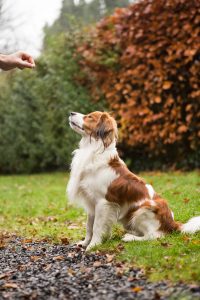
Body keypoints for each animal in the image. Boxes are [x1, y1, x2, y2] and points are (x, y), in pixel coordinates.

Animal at [67, 111, 200, 250]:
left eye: (89, 117)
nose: (71, 113)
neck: (93, 149)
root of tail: (172, 223)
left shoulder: (103, 202)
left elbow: (97, 227)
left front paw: (93, 245)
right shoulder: (91, 203)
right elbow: (89, 226)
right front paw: (84, 243)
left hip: (143, 209)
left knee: (154, 236)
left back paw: (130, 238)